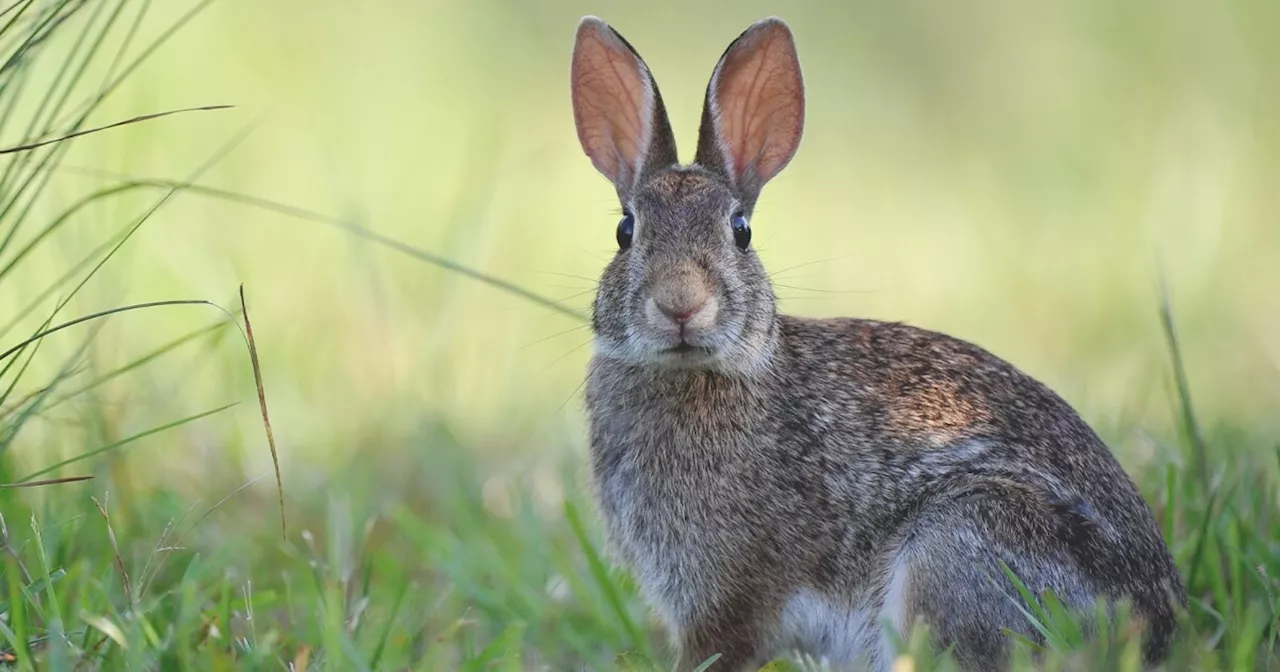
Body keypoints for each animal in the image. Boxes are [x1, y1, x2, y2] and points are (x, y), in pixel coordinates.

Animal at [570, 15, 1177, 670]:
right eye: (625, 231)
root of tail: (1153, 626)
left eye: (741, 231)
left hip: (960, 542)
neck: (700, 372)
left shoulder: (732, 600)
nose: (680, 302)